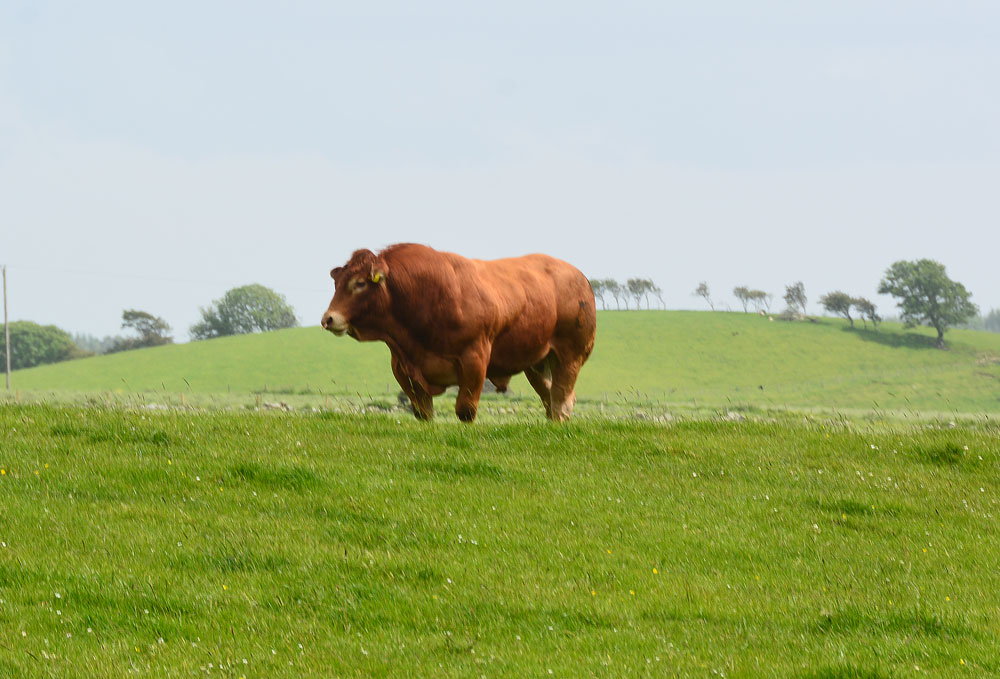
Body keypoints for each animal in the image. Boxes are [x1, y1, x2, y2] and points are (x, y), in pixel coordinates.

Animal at [320, 244, 592, 422]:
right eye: (336, 283)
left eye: (359, 283)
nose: (328, 319)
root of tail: (579, 276)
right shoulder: (402, 367)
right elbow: (423, 413)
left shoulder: (475, 359)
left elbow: (466, 411)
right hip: (536, 363)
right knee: (552, 399)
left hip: (570, 356)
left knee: (561, 399)